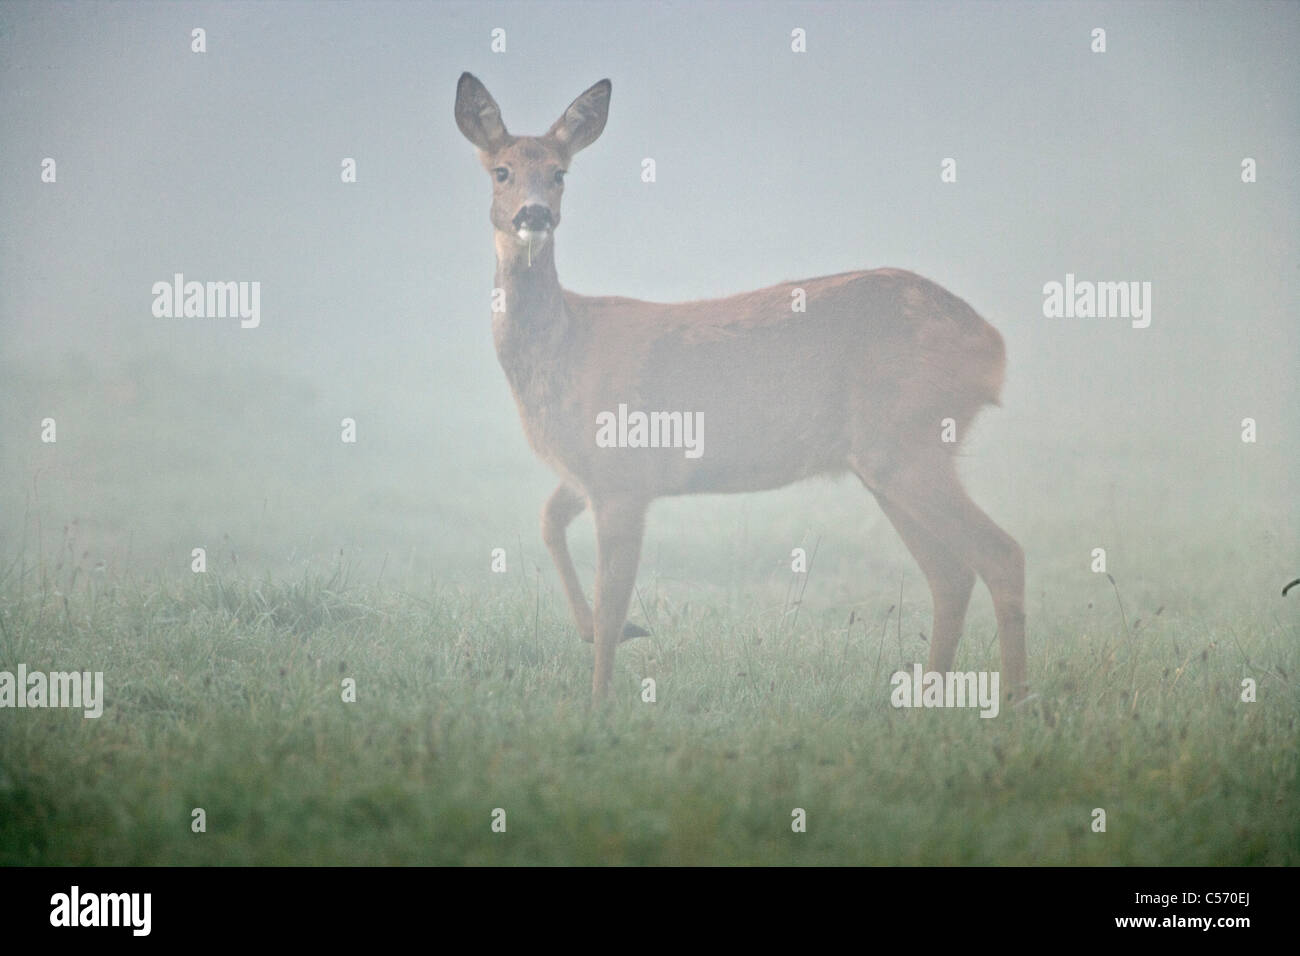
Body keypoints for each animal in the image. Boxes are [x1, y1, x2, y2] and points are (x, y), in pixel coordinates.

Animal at [455, 73, 1026, 703]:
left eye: (560, 172)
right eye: (501, 171)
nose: (533, 214)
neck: (563, 346)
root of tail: (992, 345)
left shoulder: (623, 475)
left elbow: (610, 601)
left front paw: (599, 699)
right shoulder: (588, 473)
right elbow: (549, 520)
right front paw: (618, 635)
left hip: (906, 440)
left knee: (1001, 554)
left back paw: (1017, 701)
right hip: (890, 459)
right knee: (952, 573)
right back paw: (928, 700)